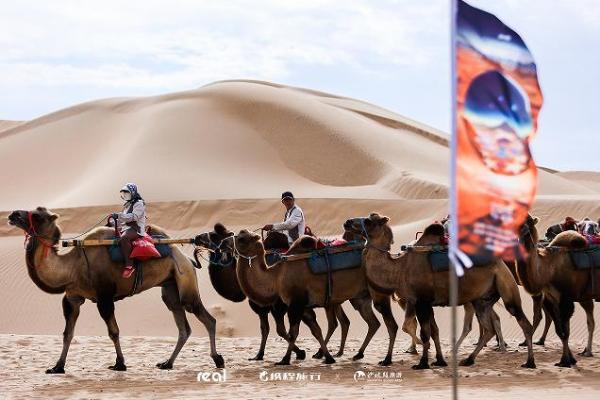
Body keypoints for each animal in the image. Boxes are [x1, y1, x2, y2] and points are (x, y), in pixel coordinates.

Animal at [8, 208, 224, 374]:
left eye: (38, 215)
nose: (12, 214)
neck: (73, 266)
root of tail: (187, 259)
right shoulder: (72, 298)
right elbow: (67, 333)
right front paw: (57, 367)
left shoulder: (104, 297)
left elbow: (113, 331)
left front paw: (120, 364)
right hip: (169, 286)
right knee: (182, 325)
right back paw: (167, 363)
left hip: (185, 280)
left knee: (206, 318)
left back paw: (217, 359)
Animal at [195, 225, 350, 360]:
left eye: (214, 235)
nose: (197, 237)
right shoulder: (267, 306)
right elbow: (266, 328)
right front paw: (259, 355)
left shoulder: (276, 305)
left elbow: (280, 329)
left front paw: (300, 352)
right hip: (334, 297)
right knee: (342, 321)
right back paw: (333, 352)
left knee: (335, 322)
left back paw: (326, 353)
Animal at [227, 231, 396, 366]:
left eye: (242, 238)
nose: (227, 240)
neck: (276, 276)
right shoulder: (304, 306)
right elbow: (316, 330)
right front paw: (327, 357)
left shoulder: (295, 303)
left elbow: (293, 332)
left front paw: (285, 359)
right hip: (360, 298)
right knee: (372, 323)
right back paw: (358, 354)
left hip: (377, 293)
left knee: (390, 324)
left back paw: (387, 360)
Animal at [344, 212, 536, 368]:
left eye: (369, 221)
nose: (347, 222)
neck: (400, 268)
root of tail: (502, 264)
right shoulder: (426, 303)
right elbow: (433, 330)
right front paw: (439, 360)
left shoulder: (421, 301)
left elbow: (425, 333)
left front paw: (422, 363)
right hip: (481, 299)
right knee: (488, 328)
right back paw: (468, 360)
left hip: (506, 287)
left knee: (523, 322)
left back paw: (529, 362)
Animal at [516, 216, 596, 366]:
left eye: (529, 220)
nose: (522, 230)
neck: (549, 268)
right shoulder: (551, 298)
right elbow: (560, 330)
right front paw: (570, 359)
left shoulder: (566, 299)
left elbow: (565, 331)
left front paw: (565, 361)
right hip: (585, 297)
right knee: (591, 322)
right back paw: (586, 351)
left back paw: (587, 352)